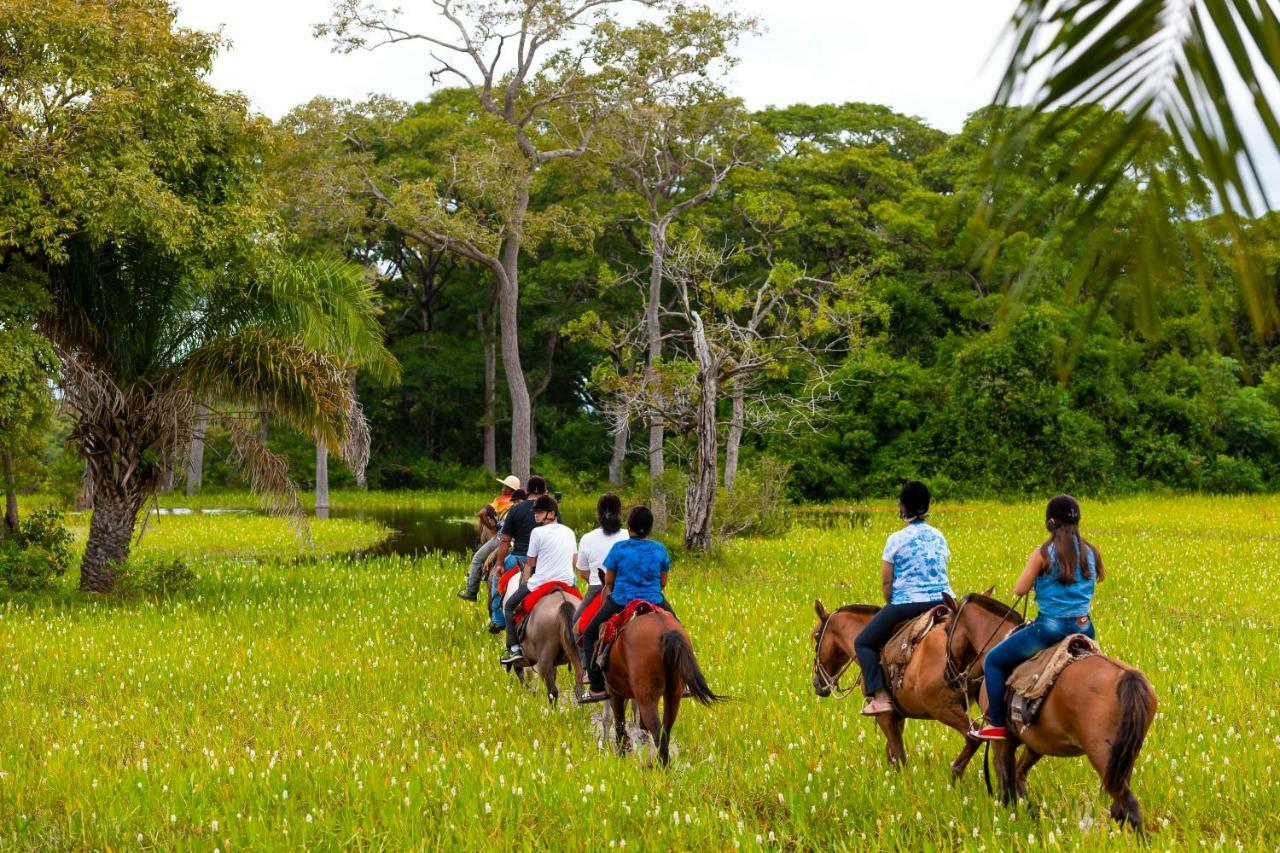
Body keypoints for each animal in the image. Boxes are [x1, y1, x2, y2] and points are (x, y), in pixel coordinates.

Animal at [601, 604, 721, 763]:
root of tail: (666, 631)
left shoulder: (615, 693)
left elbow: (620, 727)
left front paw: (623, 758)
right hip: (673, 695)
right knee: (665, 731)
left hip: (647, 699)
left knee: (657, 732)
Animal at [942, 591, 1162, 829]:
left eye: (946, 630)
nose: (947, 675)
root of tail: (1129, 677)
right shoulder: (1036, 742)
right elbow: (1019, 776)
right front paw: (1031, 814)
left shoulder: (1002, 741)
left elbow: (1006, 783)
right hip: (1123, 761)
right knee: (1120, 809)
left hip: (1103, 757)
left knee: (1130, 809)